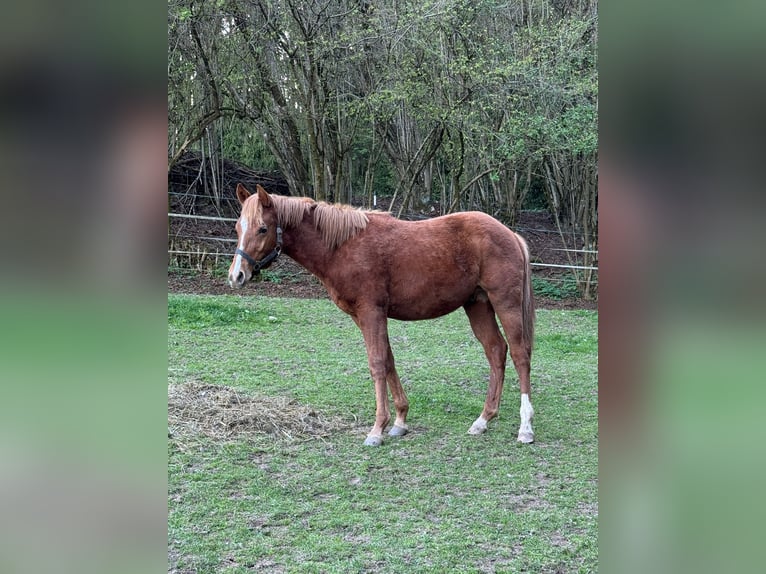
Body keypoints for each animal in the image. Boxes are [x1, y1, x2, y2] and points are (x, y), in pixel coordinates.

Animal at [228, 183, 535, 447]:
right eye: (237, 227)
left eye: (263, 228)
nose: (236, 276)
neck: (344, 246)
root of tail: (510, 234)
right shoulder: (365, 317)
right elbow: (388, 361)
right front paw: (399, 420)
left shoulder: (371, 312)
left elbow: (376, 364)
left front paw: (377, 429)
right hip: (477, 305)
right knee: (496, 351)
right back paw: (483, 420)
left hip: (505, 303)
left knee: (520, 354)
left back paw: (525, 428)